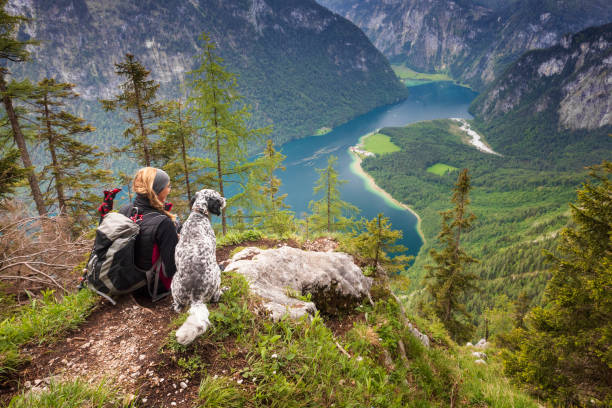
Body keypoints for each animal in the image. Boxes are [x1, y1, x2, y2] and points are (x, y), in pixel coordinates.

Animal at [172, 188, 225, 344]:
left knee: (178, 306)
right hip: (216, 276)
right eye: (218, 197)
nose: (225, 199)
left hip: (174, 282)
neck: (198, 215)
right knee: (215, 297)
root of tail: (195, 296)